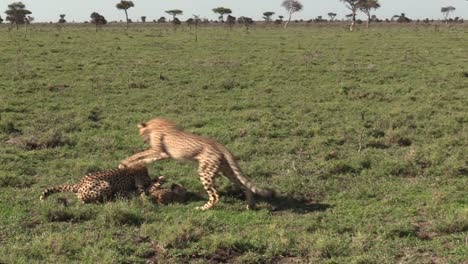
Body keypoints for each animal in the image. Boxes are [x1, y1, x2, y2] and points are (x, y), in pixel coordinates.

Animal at [119, 117, 274, 210]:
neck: (155, 126)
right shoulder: (161, 153)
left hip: (205, 172)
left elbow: (140, 155)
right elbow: (143, 156)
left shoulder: (160, 152)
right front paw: (128, 164)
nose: (143, 139)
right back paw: (250, 205)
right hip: (227, 171)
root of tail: (220, 145)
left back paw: (203, 208)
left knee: (215, 196)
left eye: (141, 134)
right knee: (245, 187)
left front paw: (125, 163)